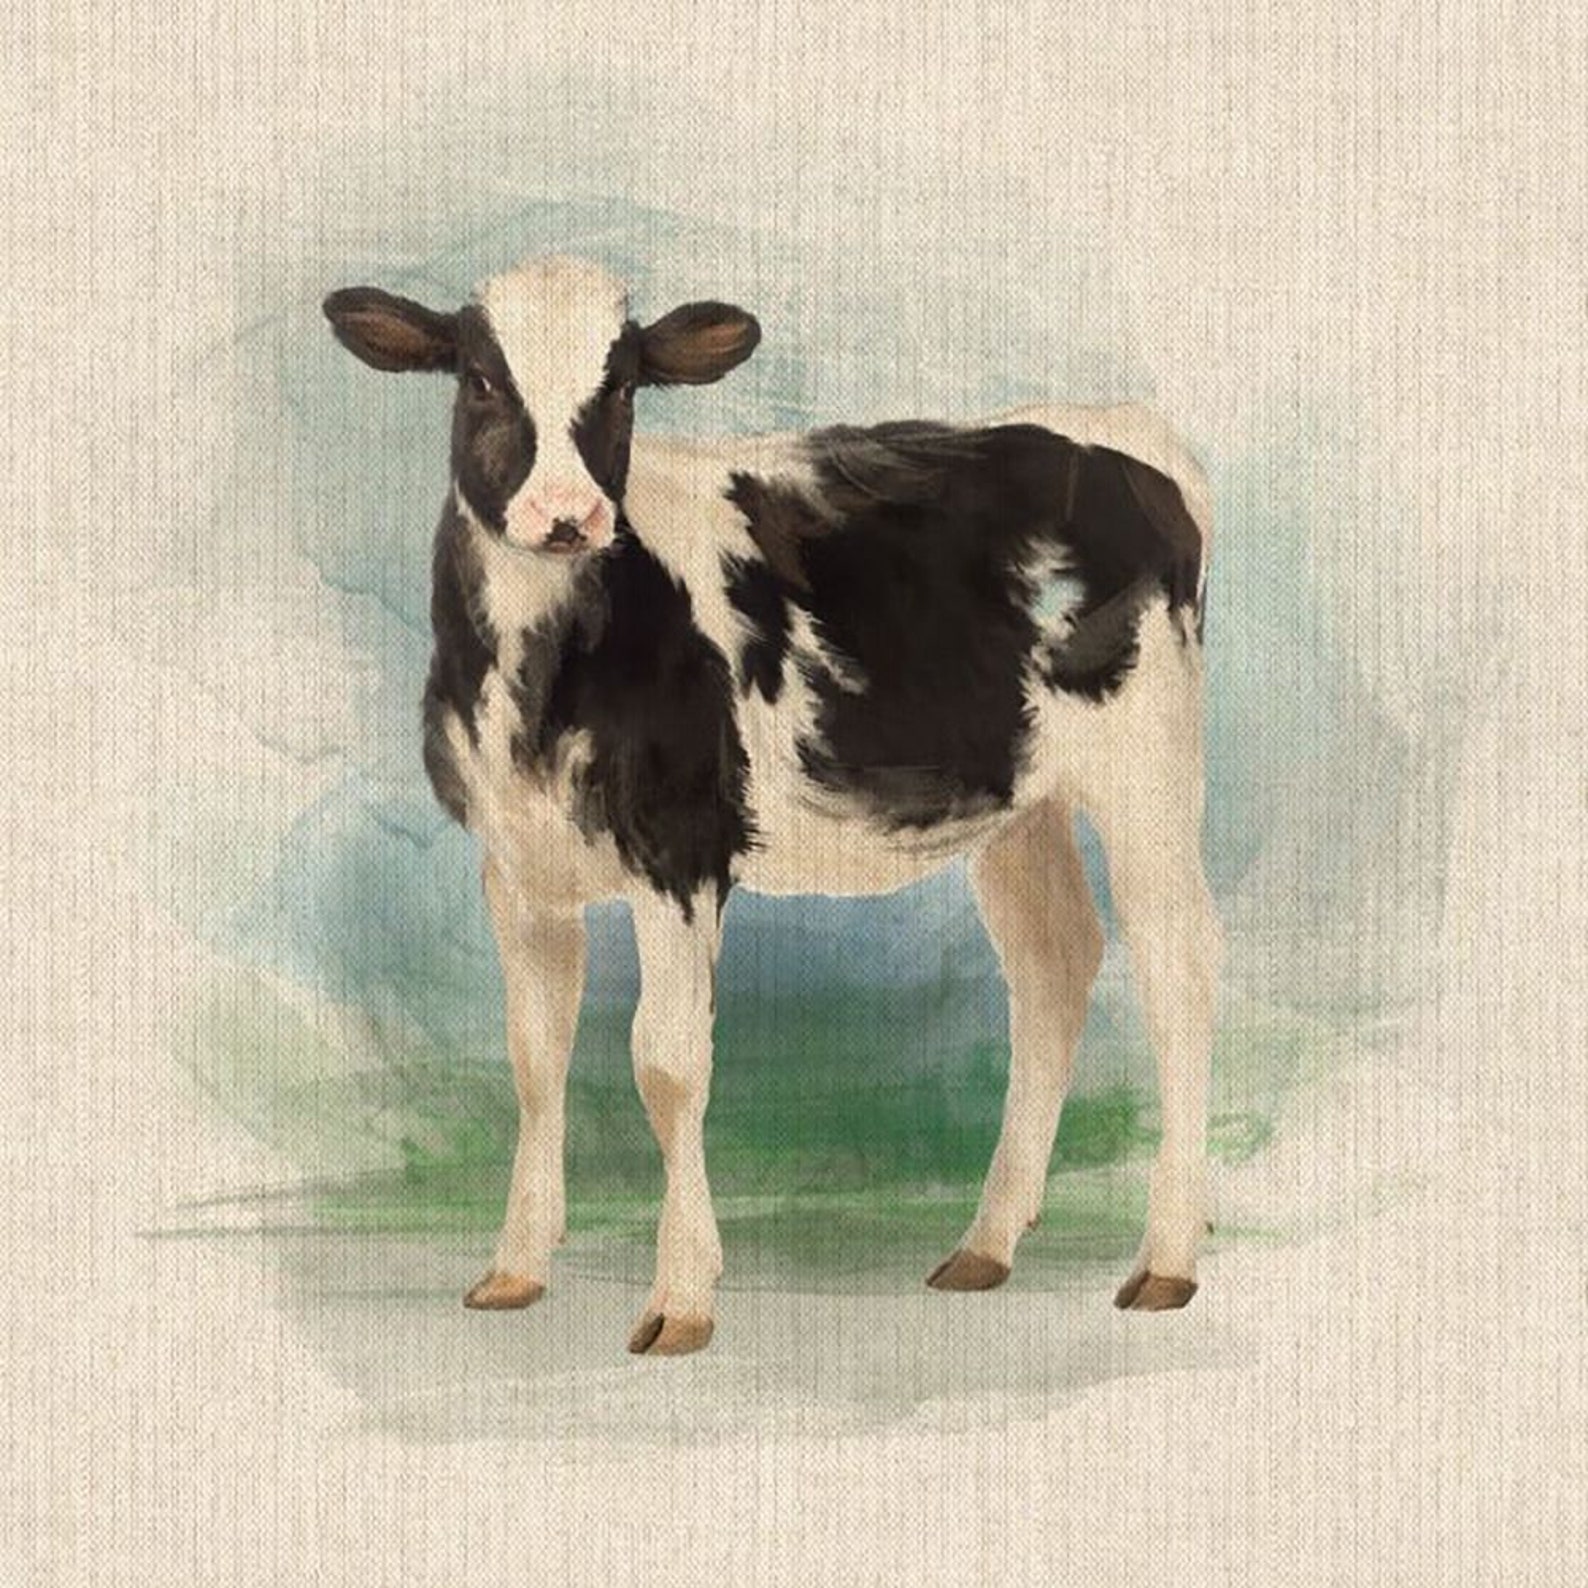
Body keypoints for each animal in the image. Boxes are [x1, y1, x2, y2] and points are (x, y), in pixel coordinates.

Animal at [323, 255, 1223, 1356]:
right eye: (482, 381)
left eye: (621, 387)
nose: (568, 513)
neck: (533, 675)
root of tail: (1118, 430)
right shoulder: (517, 864)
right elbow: (536, 1058)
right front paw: (514, 1268)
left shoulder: (681, 853)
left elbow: (667, 1063)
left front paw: (681, 1296)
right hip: (1019, 805)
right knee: (1053, 967)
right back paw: (987, 1243)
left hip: (1148, 769)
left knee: (1178, 971)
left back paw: (1167, 1257)